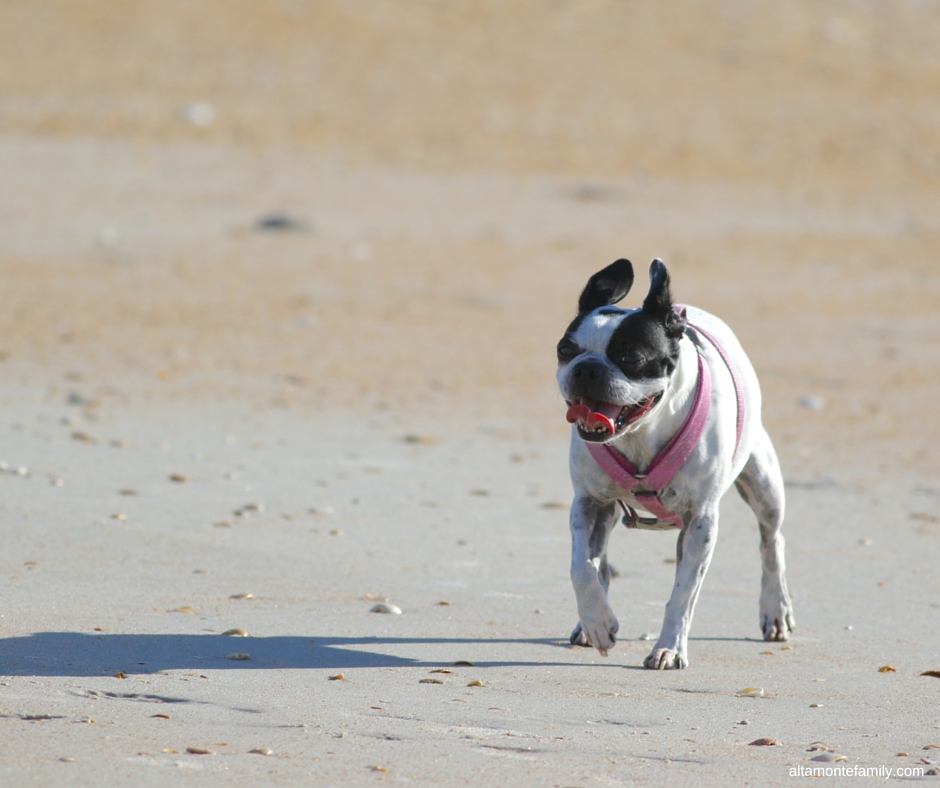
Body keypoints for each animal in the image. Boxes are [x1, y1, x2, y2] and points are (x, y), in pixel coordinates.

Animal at [556, 262, 796, 668]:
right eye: (565, 350)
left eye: (630, 357)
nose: (586, 368)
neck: (640, 434)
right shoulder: (588, 504)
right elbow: (581, 568)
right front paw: (598, 622)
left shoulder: (700, 522)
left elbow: (683, 594)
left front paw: (669, 648)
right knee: (599, 564)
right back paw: (587, 625)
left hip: (764, 485)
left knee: (772, 542)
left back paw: (775, 610)